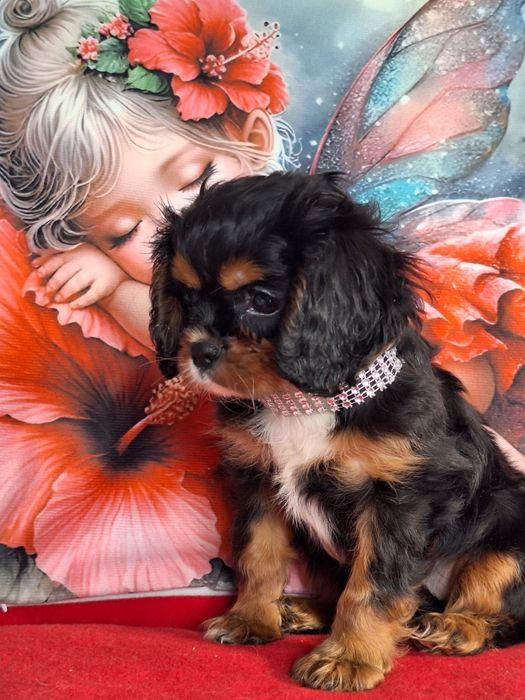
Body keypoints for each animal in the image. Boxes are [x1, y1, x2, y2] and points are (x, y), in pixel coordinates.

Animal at [150, 172, 525, 691]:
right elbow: (259, 555)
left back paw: (455, 627)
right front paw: (251, 618)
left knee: (497, 603)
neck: (301, 400)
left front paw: (349, 658)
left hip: (509, 535)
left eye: (261, 301)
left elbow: (373, 585)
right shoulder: (258, 480)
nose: (200, 353)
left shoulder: (403, 496)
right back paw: (301, 611)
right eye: (184, 297)